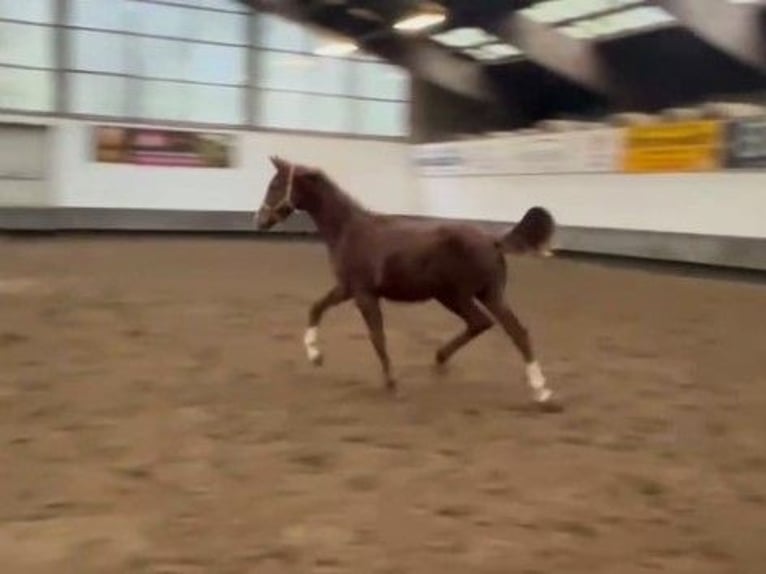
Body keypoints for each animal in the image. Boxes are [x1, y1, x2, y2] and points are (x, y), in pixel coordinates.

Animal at [255, 155, 560, 412]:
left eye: (275, 185)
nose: (259, 220)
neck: (349, 231)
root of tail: (492, 240)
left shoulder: (364, 294)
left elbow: (377, 337)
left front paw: (392, 384)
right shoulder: (347, 289)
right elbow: (316, 308)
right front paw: (315, 356)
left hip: (460, 296)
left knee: (491, 325)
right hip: (481, 294)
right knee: (506, 329)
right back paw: (536, 390)